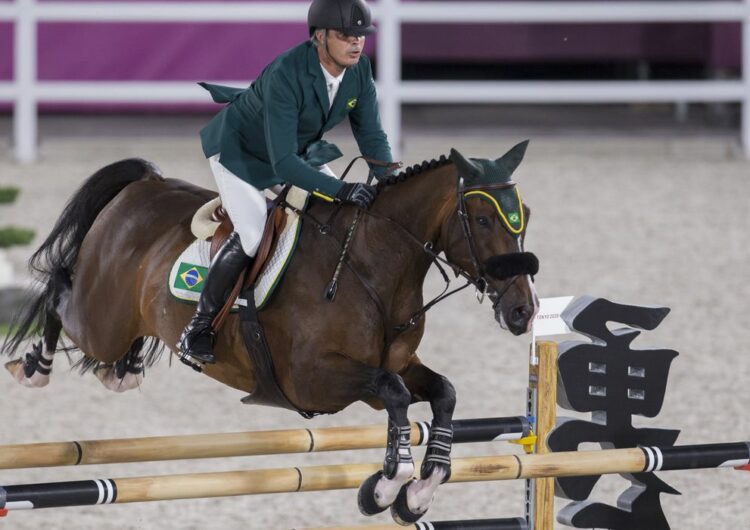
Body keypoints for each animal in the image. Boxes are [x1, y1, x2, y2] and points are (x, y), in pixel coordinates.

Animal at [1, 141, 540, 524]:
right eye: (483, 218)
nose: (523, 312)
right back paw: (34, 367)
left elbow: (440, 393)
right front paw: (388, 486)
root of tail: (143, 186)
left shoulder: (393, 367)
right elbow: (396, 395)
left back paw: (125, 369)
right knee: (60, 290)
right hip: (99, 320)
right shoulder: (314, 379)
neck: (371, 267)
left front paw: (420, 491)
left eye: (526, 217)